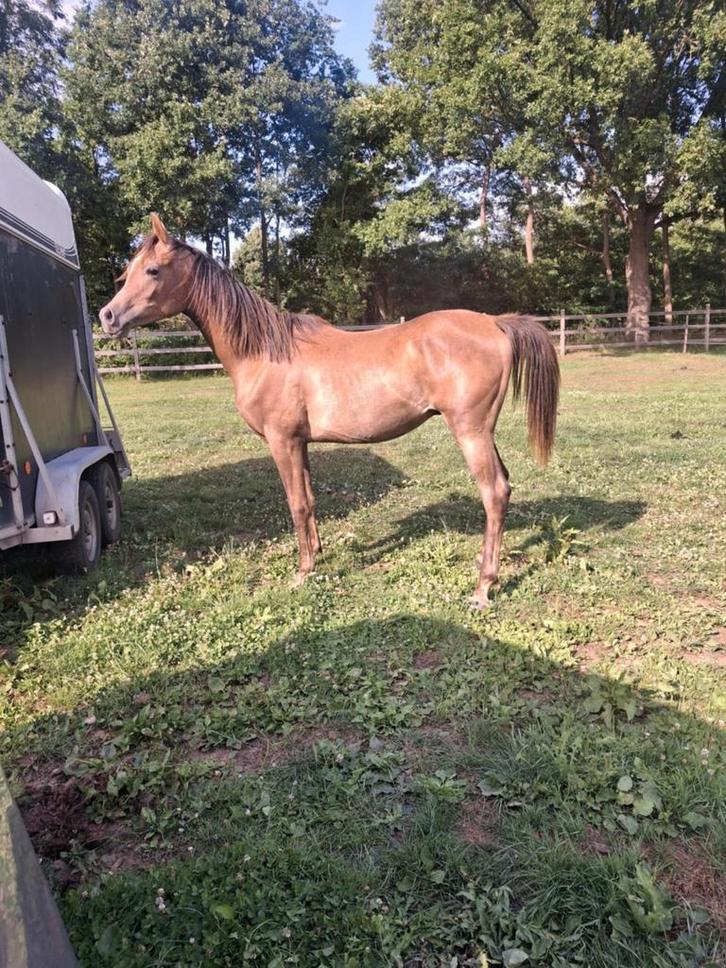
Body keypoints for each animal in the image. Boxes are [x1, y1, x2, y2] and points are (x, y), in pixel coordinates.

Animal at [100, 214, 559, 607]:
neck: (265, 351)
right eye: (128, 271)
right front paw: (317, 554)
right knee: (505, 487)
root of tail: (494, 323)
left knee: (493, 493)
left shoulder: (282, 442)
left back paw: (483, 587)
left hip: (470, 432)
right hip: (484, 433)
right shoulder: (299, 443)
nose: (107, 317)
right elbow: (310, 498)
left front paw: (302, 572)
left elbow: (296, 504)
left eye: (152, 271)